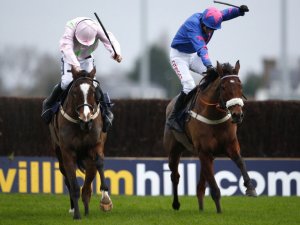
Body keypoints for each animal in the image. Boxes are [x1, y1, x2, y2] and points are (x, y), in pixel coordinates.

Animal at [49, 67, 112, 220]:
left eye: (93, 92)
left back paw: (87, 210)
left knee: (87, 186)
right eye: (75, 92)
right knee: (68, 180)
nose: (86, 117)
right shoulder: (67, 152)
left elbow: (99, 162)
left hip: (88, 160)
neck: (81, 125)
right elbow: (74, 185)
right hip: (58, 152)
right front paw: (77, 214)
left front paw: (105, 200)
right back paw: (74, 209)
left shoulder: (95, 144)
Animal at [163, 60, 256, 214]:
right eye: (223, 87)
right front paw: (219, 211)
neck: (214, 116)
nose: (237, 115)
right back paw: (176, 204)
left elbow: (241, 162)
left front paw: (250, 188)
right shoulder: (204, 151)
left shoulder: (230, 145)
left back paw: (201, 209)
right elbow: (213, 185)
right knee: (175, 176)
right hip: (174, 149)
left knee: (200, 185)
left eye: (240, 85)